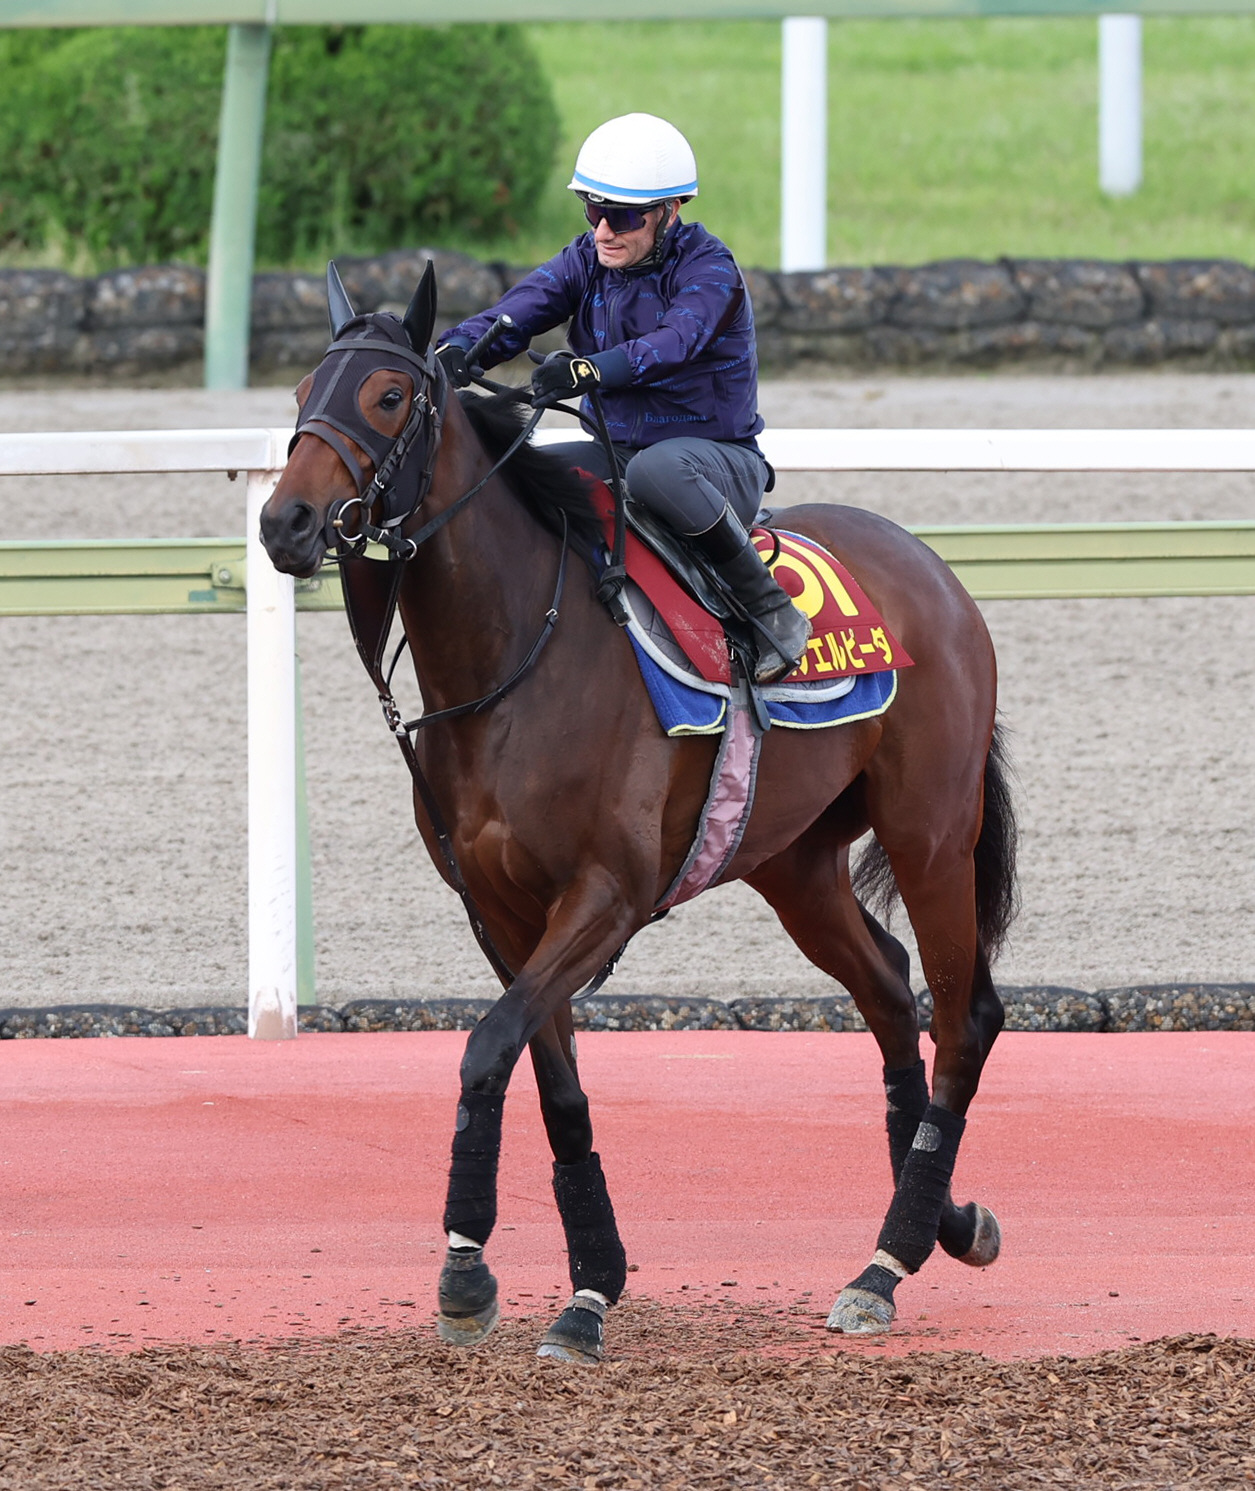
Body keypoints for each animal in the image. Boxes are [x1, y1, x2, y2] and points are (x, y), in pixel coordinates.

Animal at [259, 261, 1018, 1365]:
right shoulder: (499, 913)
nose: (286, 523)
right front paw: (579, 1283)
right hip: (793, 861)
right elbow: (551, 1082)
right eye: (300, 394)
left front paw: (477, 1272)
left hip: (929, 834)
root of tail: (932, 571)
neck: (513, 658)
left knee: (963, 1017)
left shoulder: (604, 894)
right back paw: (943, 1223)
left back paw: (884, 1265)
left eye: (390, 395)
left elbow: (485, 1049)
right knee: (887, 990)